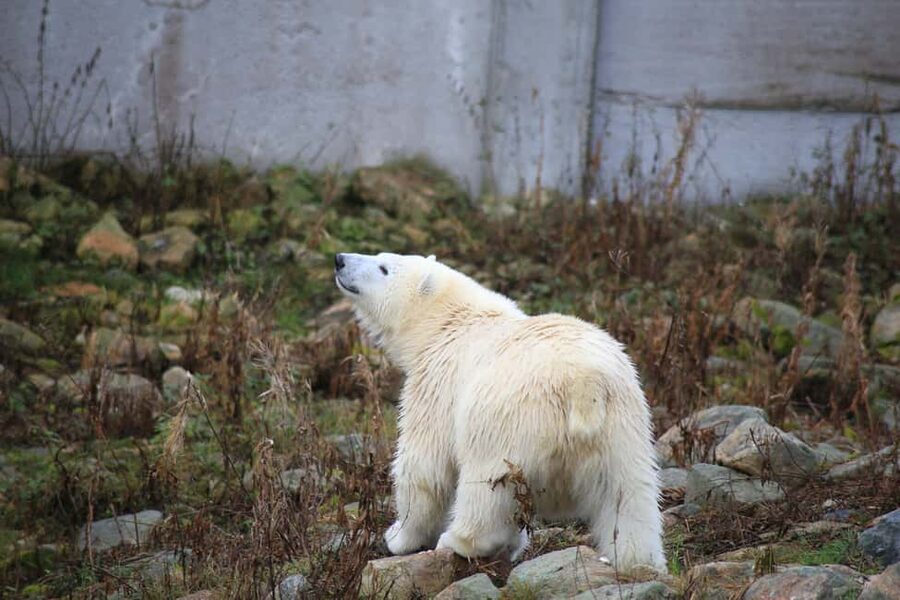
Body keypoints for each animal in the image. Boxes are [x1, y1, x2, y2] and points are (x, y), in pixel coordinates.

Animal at [334, 251, 665, 570]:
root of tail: (584, 381)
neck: (446, 321)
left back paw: (459, 540)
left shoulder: (438, 382)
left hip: (508, 419)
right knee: (628, 495)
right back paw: (638, 560)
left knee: (485, 487)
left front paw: (397, 536)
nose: (339, 260)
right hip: (623, 423)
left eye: (383, 267)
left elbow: (424, 465)